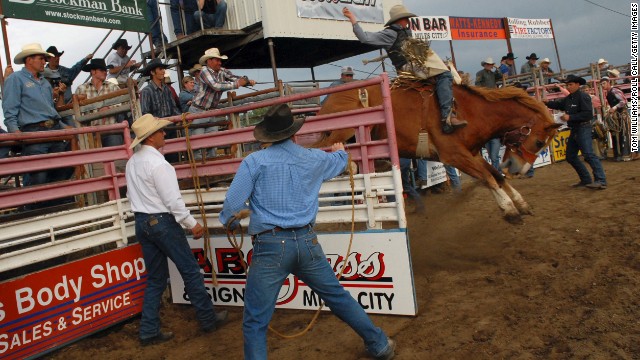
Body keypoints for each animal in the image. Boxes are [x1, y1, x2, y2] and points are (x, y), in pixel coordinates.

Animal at [312, 77, 564, 224]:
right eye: (539, 142)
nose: (520, 169)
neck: (472, 112)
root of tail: (328, 99)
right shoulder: (453, 154)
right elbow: (487, 178)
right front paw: (510, 209)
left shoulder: (472, 153)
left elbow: (496, 175)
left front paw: (521, 203)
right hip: (342, 129)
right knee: (321, 150)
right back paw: (349, 166)